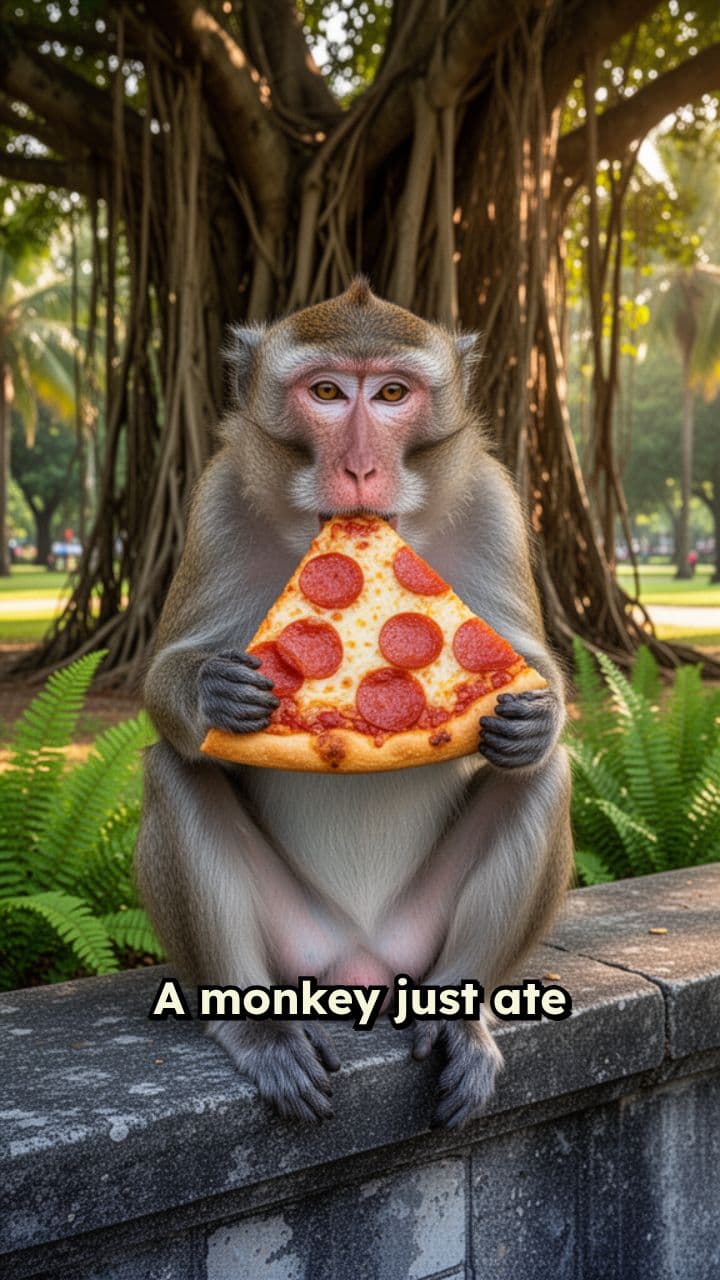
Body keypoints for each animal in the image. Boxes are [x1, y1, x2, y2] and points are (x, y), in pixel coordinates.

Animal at [135, 278, 573, 1130]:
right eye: (329, 394)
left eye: (393, 394)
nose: (363, 466)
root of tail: (362, 966)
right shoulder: (214, 499)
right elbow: (164, 681)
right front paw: (214, 692)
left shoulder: (497, 501)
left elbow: (530, 665)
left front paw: (535, 719)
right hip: (296, 944)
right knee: (174, 771)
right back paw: (256, 1030)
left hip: (419, 937)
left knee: (543, 779)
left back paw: (460, 1011)